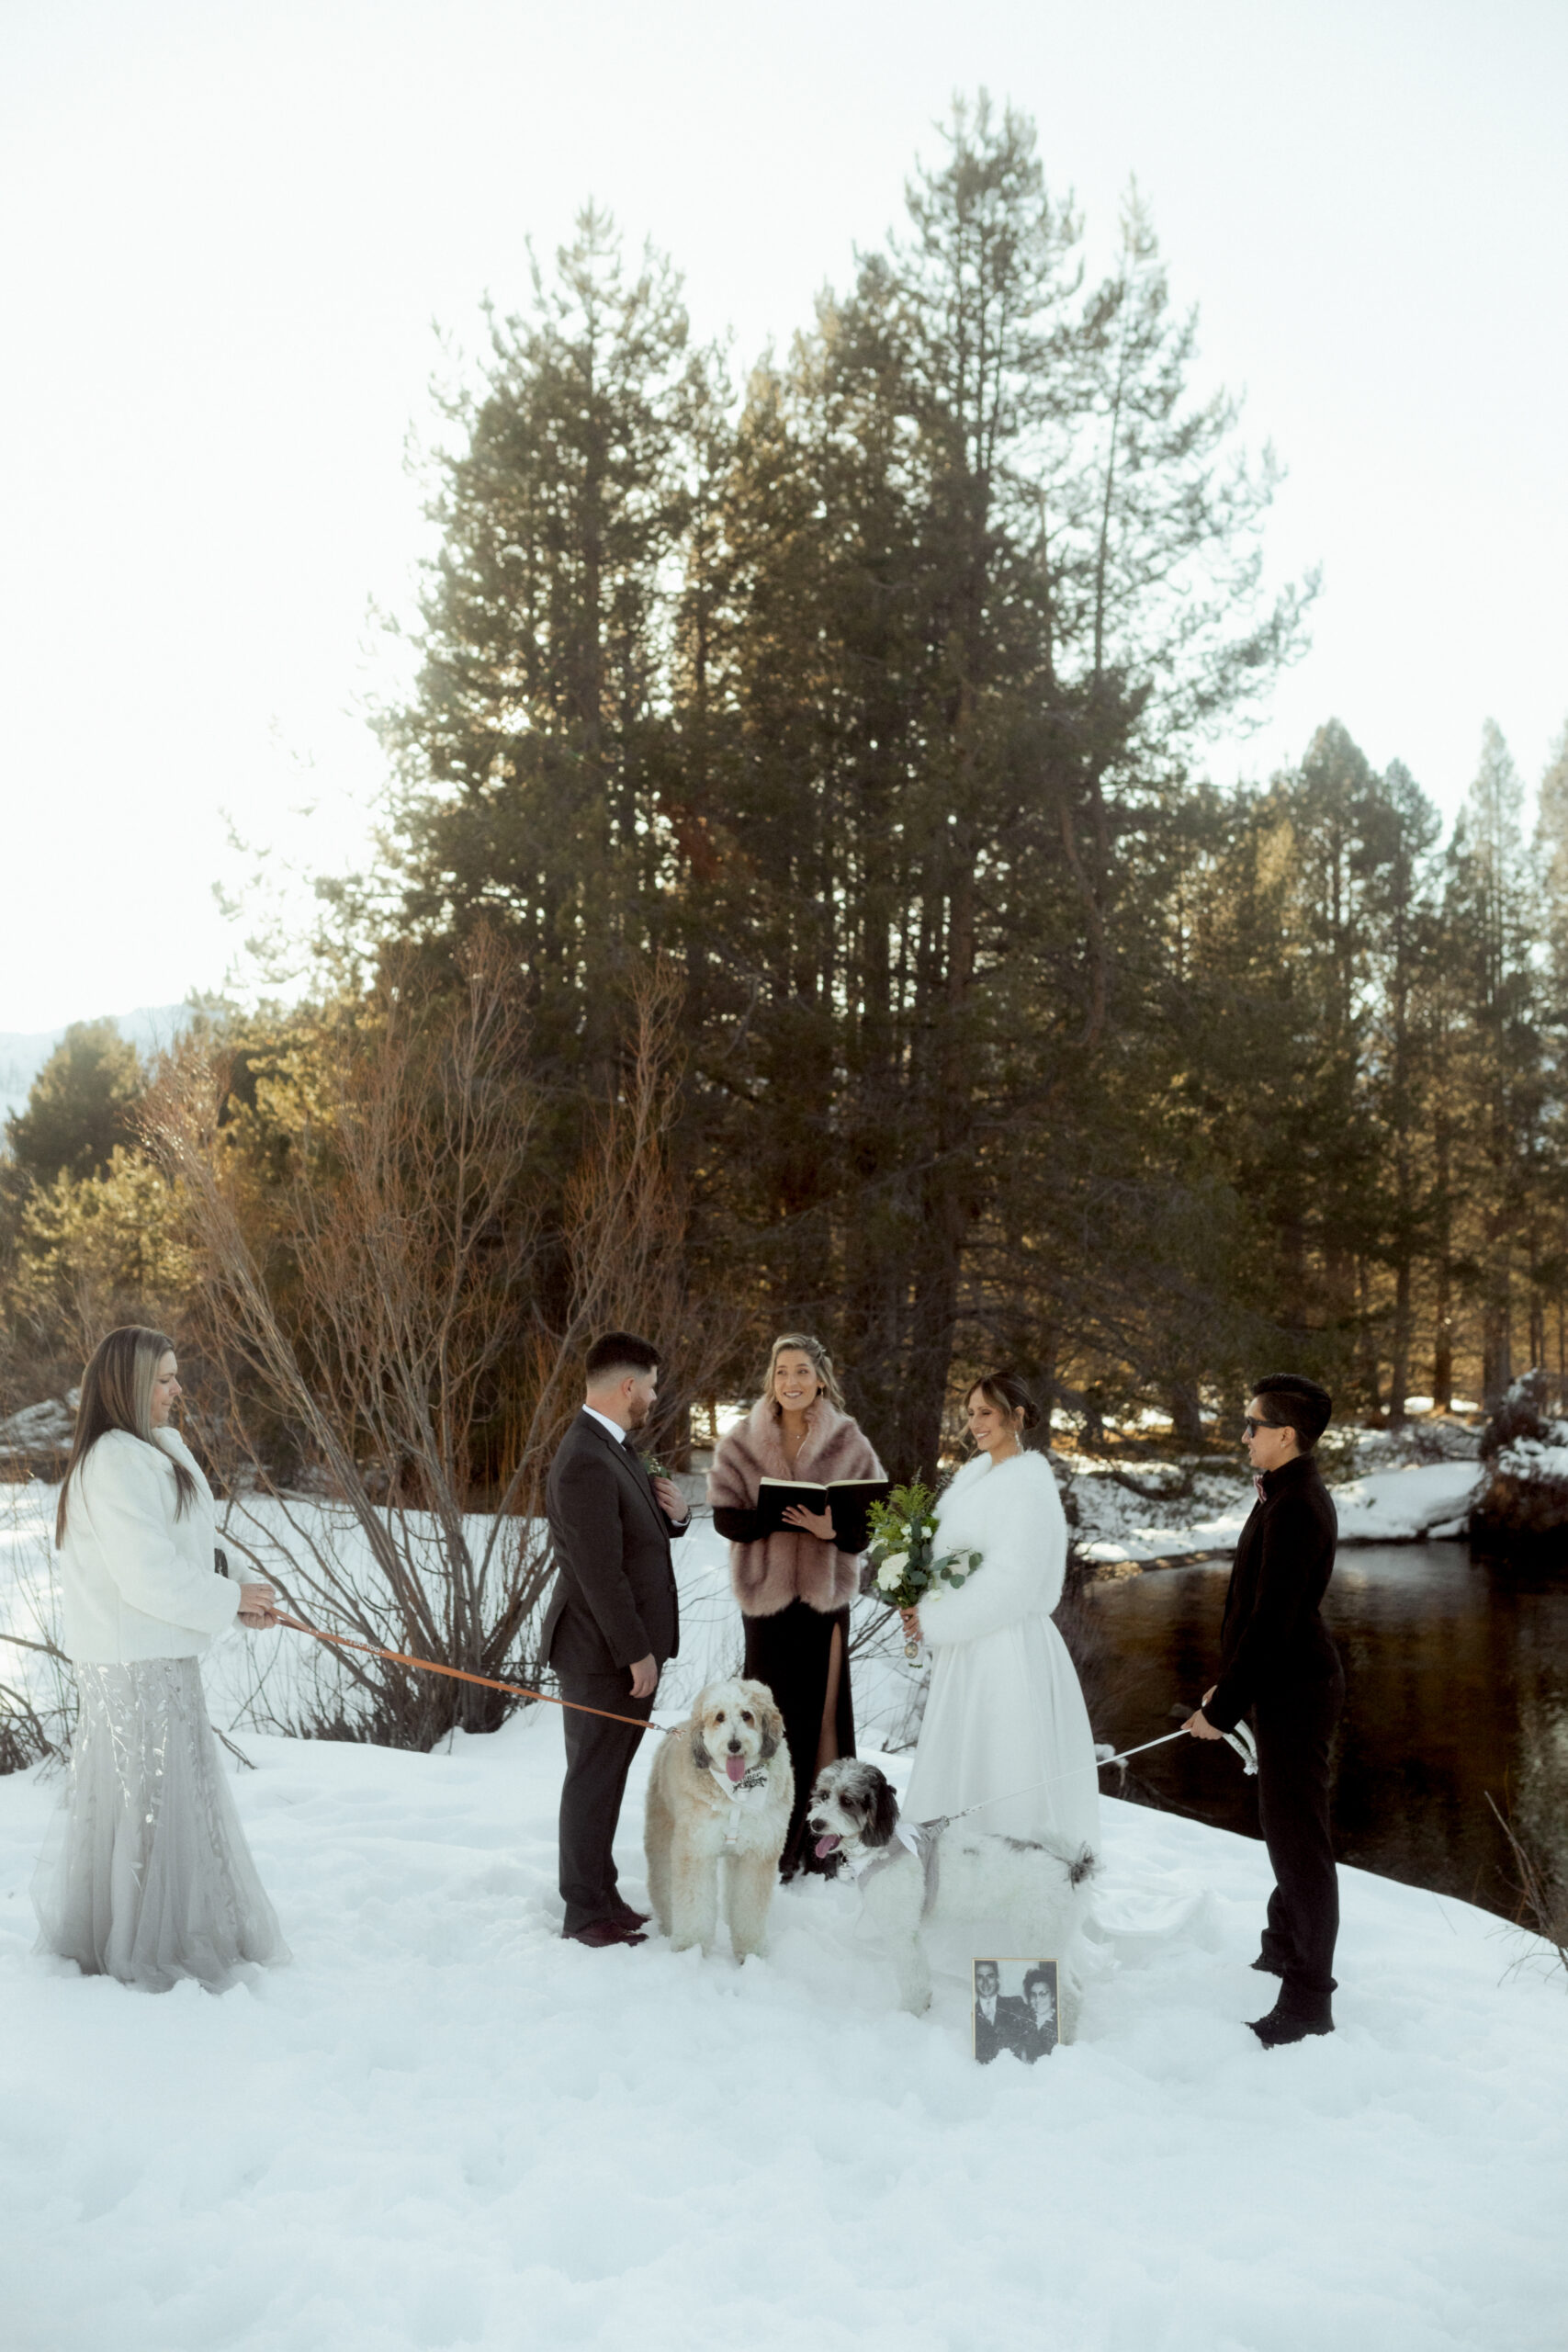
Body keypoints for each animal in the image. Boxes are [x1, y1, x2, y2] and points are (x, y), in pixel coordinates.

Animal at [639, 1683, 789, 1956]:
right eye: (719, 1717)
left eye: (747, 1715)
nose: (734, 1744)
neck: (738, 1791)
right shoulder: (696, 1847)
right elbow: (695, 1905)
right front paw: (691, 1949)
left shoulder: (757, 1852)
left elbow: (749, 1906)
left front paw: (750, 1952)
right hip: (662, 1833)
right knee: (663, 1882)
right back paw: (668, 1924)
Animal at [804, 1758, 1100, 2031]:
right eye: (824, 1794)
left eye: (847, 1800)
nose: (816, 1823)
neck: (883, 1846)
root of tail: (1071, 1867)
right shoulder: (912, 1932)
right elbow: (920, 1971)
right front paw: (922, 2005)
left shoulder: (900, 1932)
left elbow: (911, 1975)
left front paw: (907, 2015)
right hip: (1056, 1938)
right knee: (1077, 1985)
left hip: (1039, 1938)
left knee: (1070, 1995)